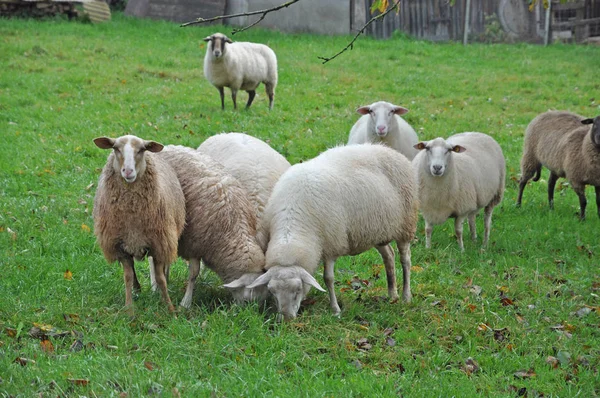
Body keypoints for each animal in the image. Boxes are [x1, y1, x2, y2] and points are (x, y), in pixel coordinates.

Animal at [91, 135, 184, 316]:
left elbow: (160, 278)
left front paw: (170, 308)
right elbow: (127, 276)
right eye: (115, 148)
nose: (128, 171)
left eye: (142, 149)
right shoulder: (120, 246)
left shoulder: (159, 244)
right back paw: (137, 289)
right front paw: (129, 309)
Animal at [155, 146, 268, 308]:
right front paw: (186, 303)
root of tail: (168, 147)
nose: (245, 312)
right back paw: (155, 287)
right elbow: (193, 274)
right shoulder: (194, 243)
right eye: (247, 300)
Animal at [225, 143, 418, 320]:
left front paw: (335, 310)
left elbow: (328, 278)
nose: (286, 319)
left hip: (406, 225)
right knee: (389, 255)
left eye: (298, 290)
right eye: (272, 291)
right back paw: (392, 294)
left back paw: (406, 296)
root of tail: (389, 149)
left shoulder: (332, 244)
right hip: (377, 230)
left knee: (405, 259)